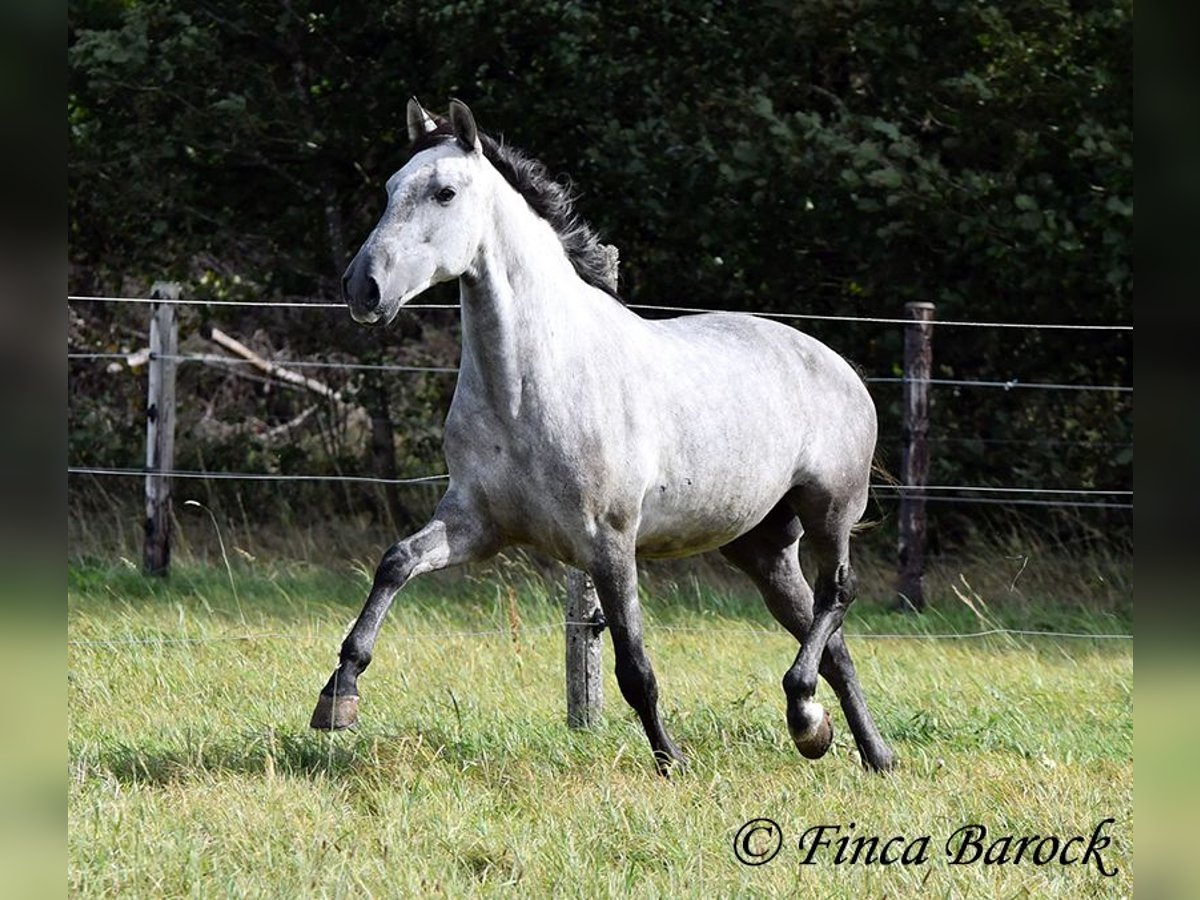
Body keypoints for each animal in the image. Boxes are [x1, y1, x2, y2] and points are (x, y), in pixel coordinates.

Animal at [314, 97, 897, 777]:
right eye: (388, 189)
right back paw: (864, 750)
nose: (363, 288)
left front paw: (673, 763)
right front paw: (338, 696)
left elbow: (634, 669)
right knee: (831, 642)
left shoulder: (610, 542)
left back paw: (805, 714)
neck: (531, 388)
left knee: (838, 595)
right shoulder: (475, 523)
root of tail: (839, 366)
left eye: (445, 192)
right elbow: (396, 562)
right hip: (760, 546)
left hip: (829, 508)